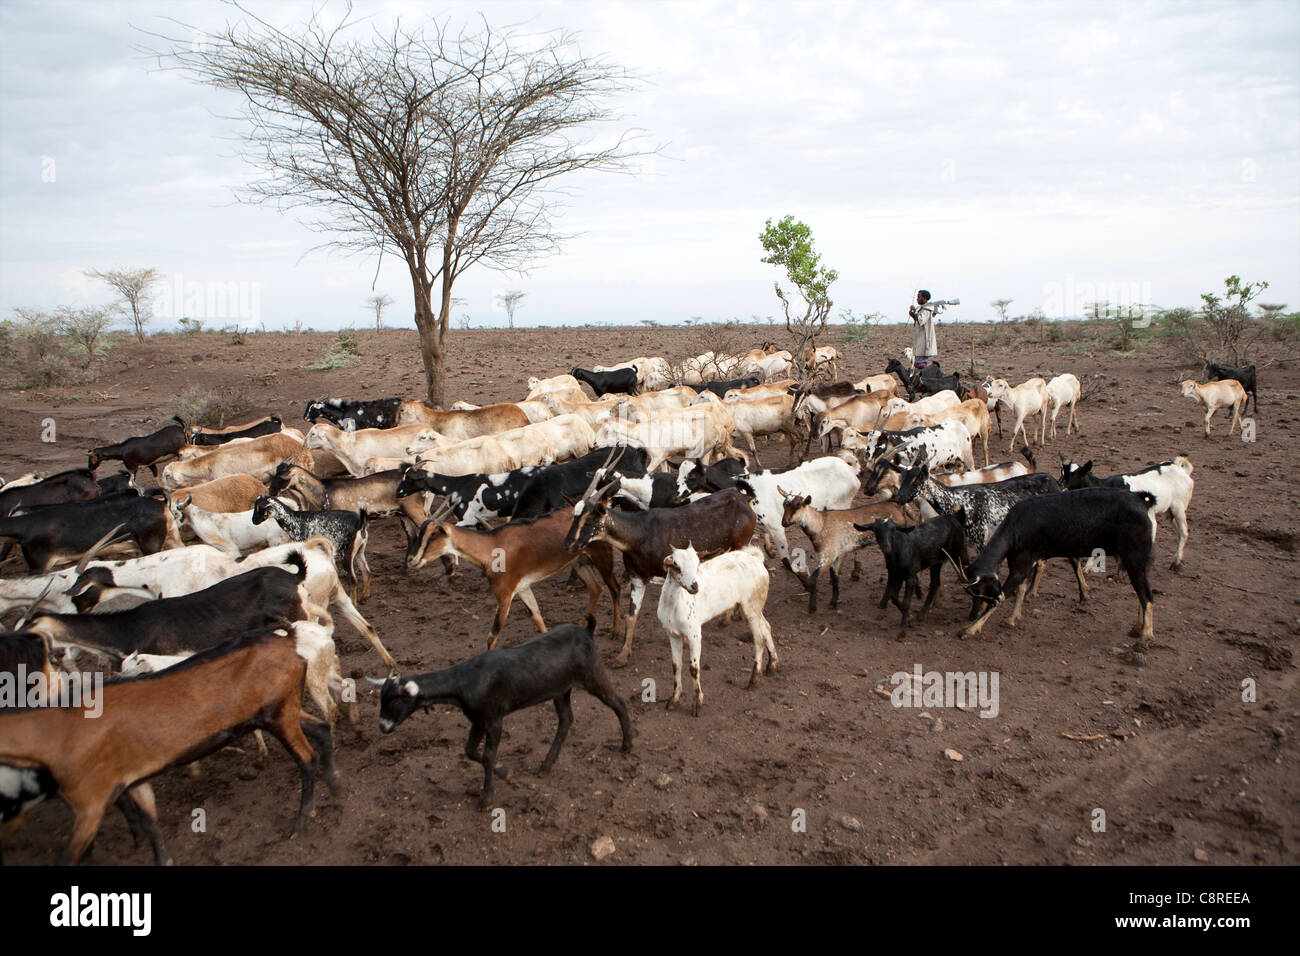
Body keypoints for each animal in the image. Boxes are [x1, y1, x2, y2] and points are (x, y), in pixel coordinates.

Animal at [374, 616, 631, 811]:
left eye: (395, 702)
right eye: (382, 700)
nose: (383, 727)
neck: (463, 681)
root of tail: (587, 630)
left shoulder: (494, 719)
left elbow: (488, 755)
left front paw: (487, 797)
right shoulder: (478, 720)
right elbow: (470, 751)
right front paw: (505, 773)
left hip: (593, 674)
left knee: (618, 703)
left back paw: (627, 745)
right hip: (560, 689)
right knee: (566, 720)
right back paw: (546, 764)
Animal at [655, 541, 774, 712]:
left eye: (697, 564)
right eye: (676, 565)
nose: (694, 586)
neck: (674, 603)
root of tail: (756, 559)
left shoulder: (694, 633)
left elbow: (694, 669)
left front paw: (697, 704)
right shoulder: (673, 634)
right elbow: (676, 666)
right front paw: (674, 700)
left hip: (751, 606)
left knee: (759, 639)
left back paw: (753, 680)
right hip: (757, 607)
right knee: (766, 626)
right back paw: (772, 665)